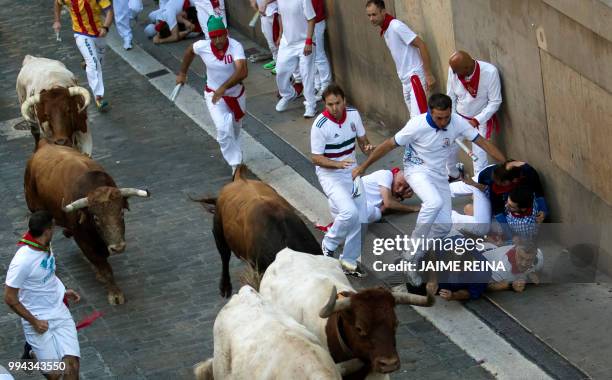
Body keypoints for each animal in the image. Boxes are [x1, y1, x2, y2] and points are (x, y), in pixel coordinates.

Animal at [24, 141, 151, 304]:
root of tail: (43, 145)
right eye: (96, 218)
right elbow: (103, 265)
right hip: (35, 208)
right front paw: (115, 294)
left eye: (121, 213)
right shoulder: (84, 241)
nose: (118, 248)